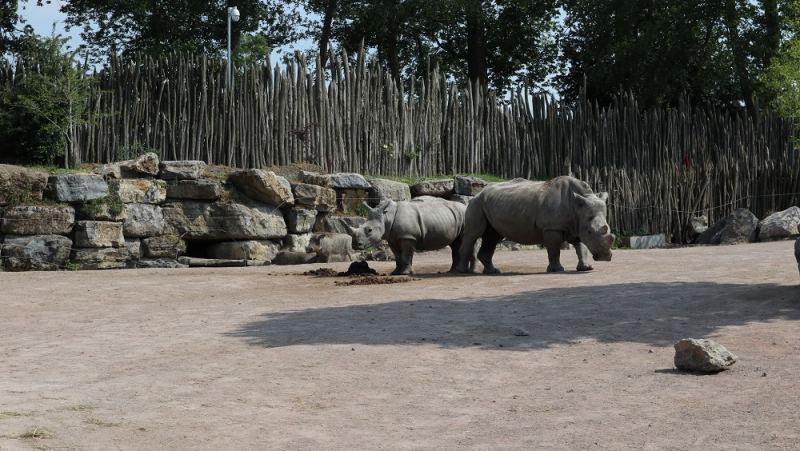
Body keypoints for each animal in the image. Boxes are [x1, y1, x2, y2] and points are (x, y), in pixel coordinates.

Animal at [346, 199, 476, 276]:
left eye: (369, 230)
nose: (355, 245)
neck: (386, 217)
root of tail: (465, 206)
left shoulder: (408, 237)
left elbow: (406, 255)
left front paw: (405, 273)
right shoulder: (393, 239)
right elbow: (398, 257)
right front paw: (395, 273)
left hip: (466, 216)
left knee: (466, 239)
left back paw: (464, 271)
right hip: (455, 217)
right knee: (455, 244)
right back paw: (452, 271)